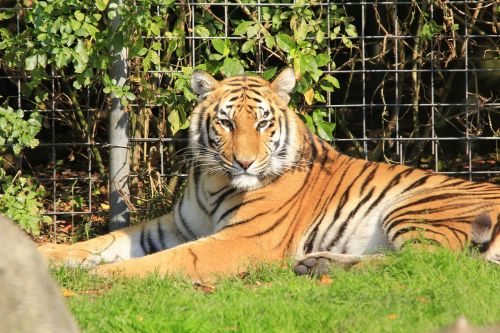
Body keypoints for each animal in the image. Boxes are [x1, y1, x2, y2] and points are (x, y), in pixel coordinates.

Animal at [38, 67, 500, 280]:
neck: (214, 181)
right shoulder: (171, 227)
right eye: (226, 123)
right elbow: (100, 243)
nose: (244, 162)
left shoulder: (241, 240)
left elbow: (167, 261)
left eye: (262, 123)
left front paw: (103, 276)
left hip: (417, 206)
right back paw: (315, 264)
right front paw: (44, 256)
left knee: (431, 263)